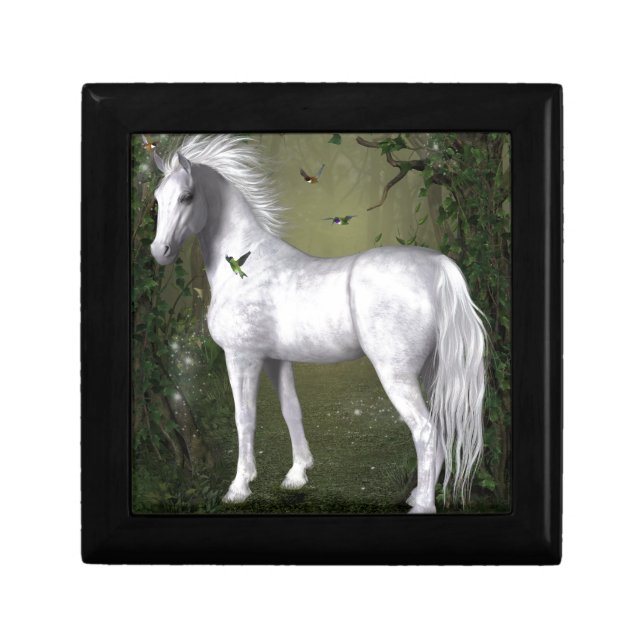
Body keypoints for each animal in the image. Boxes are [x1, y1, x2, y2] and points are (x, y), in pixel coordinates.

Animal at [150, 135, 486, 513]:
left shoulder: (241, 357)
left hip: (396, 373)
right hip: (429, 371)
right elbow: (291, 411)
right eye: (157, 199)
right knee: (438, 432)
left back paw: (423, 504)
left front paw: (238, 487)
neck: (244, 264)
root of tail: (437, 266)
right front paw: (297, 475)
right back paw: (416, 494)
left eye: (187, 196)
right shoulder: (275, 360)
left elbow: (244, 418)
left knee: (425, 432)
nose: (159, 251)